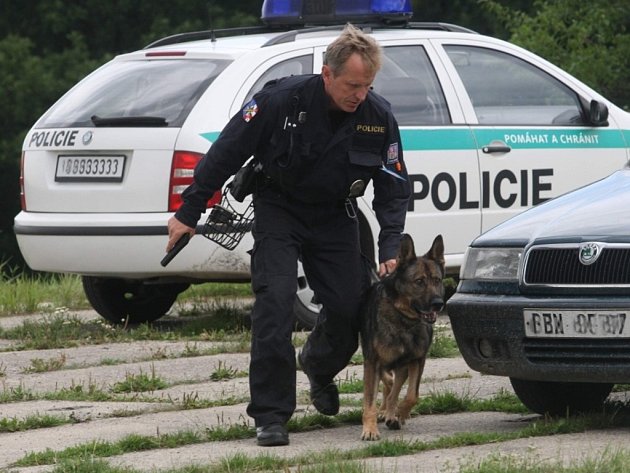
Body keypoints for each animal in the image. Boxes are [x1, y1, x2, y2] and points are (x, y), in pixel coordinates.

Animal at [362, 234, 446, 440]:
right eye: (419, 281)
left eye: (437, 280)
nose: (438, 304)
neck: (405, 320)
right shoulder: (373, 362)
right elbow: (370, 401)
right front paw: (370, 429)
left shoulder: (417, 360)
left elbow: (411, 396)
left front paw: (399, 414)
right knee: (388, 383)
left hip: (402, 367)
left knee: (393, 387)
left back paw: (390, 412)